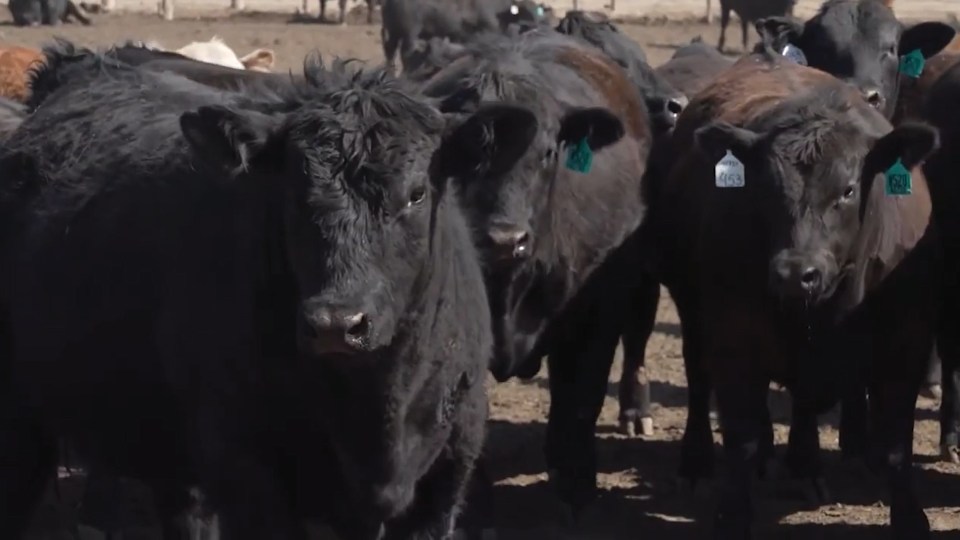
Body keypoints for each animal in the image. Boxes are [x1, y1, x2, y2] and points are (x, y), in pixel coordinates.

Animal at [382, 0, 548, 69]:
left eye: (538, 11)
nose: (538, 25)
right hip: (410, 33)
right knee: (405, 53)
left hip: (393, 34)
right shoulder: (489, 28)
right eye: (526, 11)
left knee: (390, 52)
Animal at [426, 28, 656, 510]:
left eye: (549, 152)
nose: (504, 239)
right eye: (465, 154)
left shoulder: (598, 309)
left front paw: (577, 481)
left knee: (637, 339)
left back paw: (635, 412)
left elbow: (582, 397)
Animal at [656, 49, 940, 536]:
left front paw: (909, 517)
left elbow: (895, 445)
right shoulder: (732, 336)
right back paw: (697, 464)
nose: (794, 273)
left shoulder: (907, 343)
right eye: (764, 187)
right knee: (698, 380)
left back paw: (804, 467)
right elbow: (742, 437)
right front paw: (733, 513)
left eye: (848, 189)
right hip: (692, 311)